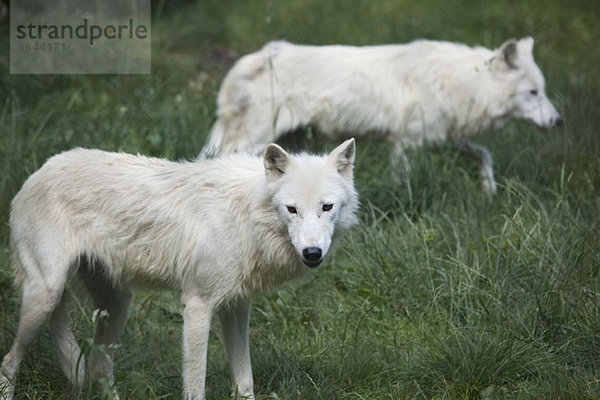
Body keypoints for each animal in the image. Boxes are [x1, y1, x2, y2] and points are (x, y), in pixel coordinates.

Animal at [0, 139, 356, 398]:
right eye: (292, 209)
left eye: (326, 207)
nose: (312, 253)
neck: (246, 214)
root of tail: (35, 174)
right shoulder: (197, 307)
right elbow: (195, 387)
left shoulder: (236, 307)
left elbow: (245, 382)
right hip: (45, 297)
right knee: (8, 362)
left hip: (117, 306)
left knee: (99, 366)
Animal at [202, 36, 564, 196]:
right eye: (533, 92)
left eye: (543, 91)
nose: (559, 122)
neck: (463, 85)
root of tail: (257, 56)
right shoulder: (405, 144)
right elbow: (402, 184)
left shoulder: (442, 140)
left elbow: (484, 154)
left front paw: (489, 192)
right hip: (254, 140)